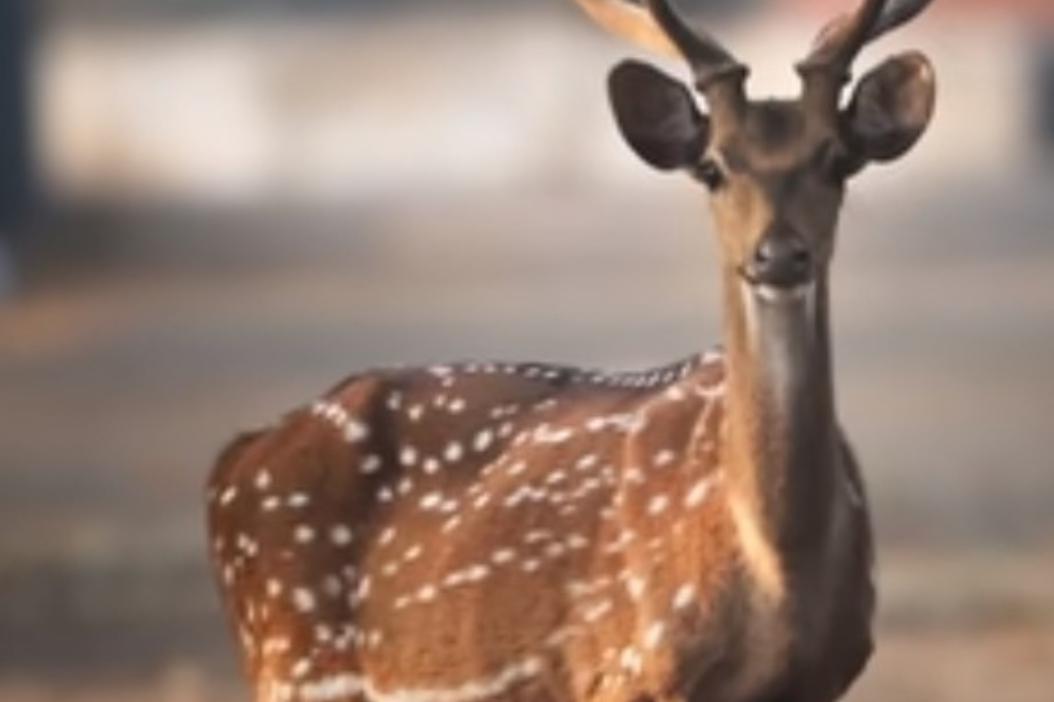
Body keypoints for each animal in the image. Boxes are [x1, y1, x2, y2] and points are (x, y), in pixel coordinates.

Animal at [205, 1, 936, 701]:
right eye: (712, 166)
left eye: (836, 160)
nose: (779, 255)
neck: (779, 568)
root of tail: (236, 460)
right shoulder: (631, 669)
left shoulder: (828, 675)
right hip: (295, 659)